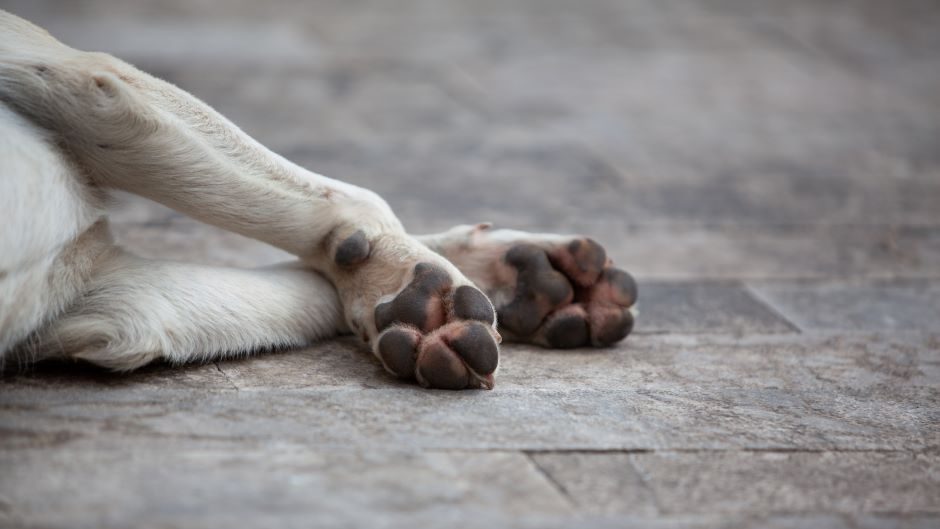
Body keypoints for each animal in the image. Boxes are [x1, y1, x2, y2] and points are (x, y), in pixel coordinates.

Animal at [0, 11, 640, 388]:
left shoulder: (108, 306)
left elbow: (302, 288)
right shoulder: (78, 75)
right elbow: (349, 208)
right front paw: (410, 291)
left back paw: (542, 280)